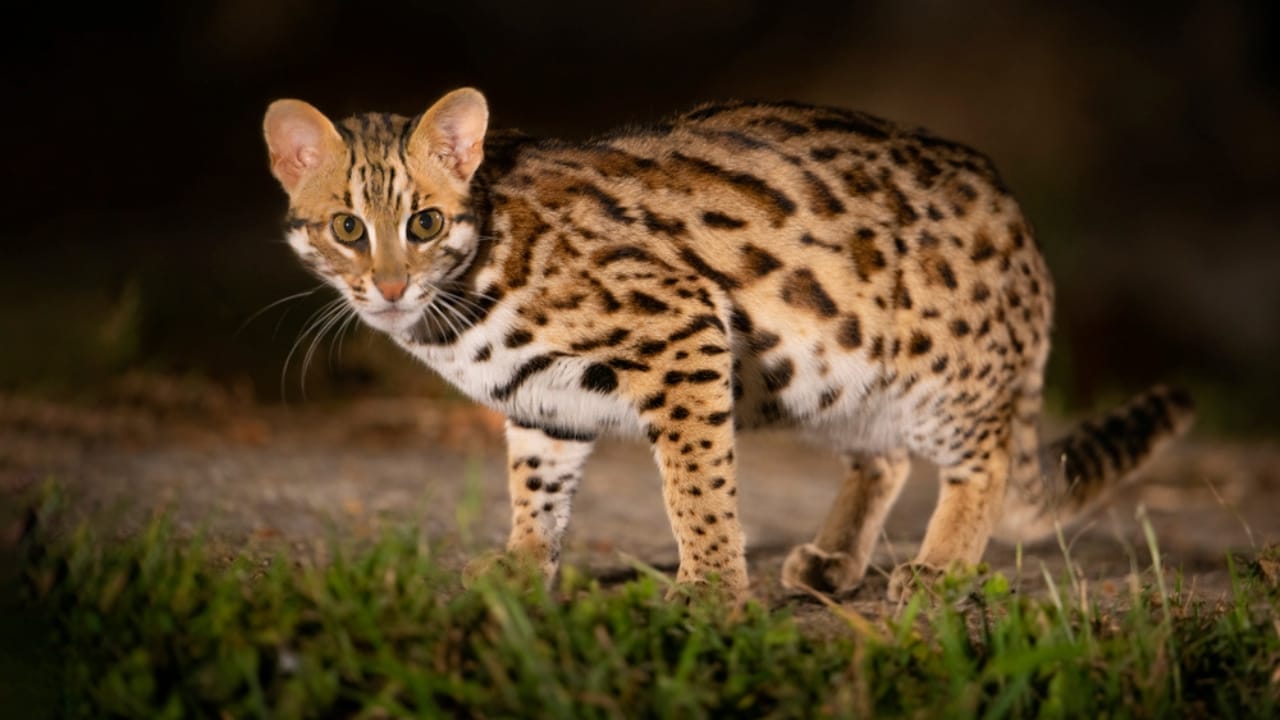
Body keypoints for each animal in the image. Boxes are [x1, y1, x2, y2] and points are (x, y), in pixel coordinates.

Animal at [262, 87, 1193, 601]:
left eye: (423, 223)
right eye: (347, 228)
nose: (387, 288)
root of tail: (1017, 216)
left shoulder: (683, 331)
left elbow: (695, 485)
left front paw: (710, 588)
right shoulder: (540, 397)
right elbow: (536, 486)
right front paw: (527, 564)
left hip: (939, 374)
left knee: (986, 459)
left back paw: (944, 565)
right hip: (840, 376)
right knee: (885, 457)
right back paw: (834, 558)